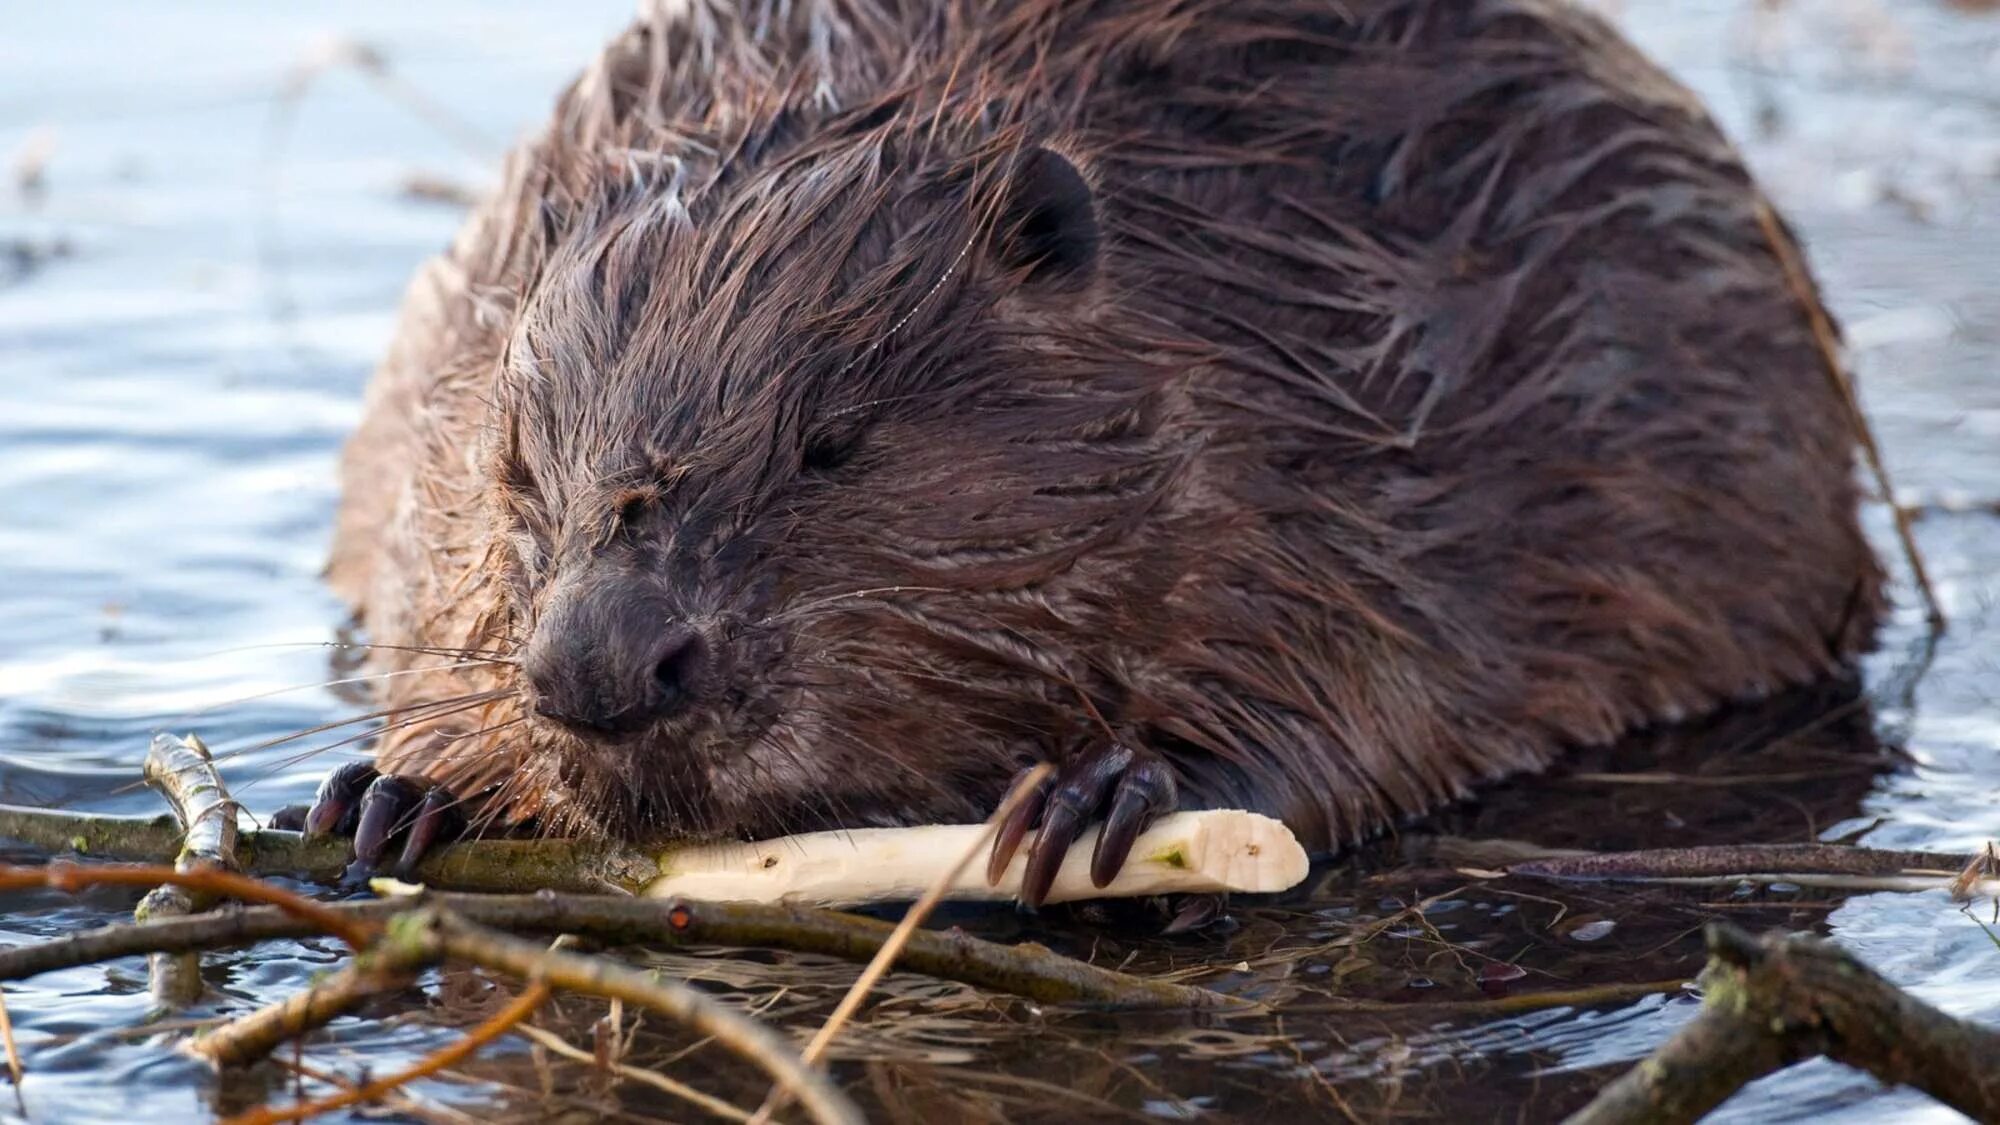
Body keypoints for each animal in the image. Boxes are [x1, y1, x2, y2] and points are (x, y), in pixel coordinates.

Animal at [292, 0, 1872, 896]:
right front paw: (397, 790)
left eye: (831, 446)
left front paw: (1103, 796)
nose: (603, 668)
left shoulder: (1355, 437)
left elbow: (1363, 692)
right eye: (516, 459)